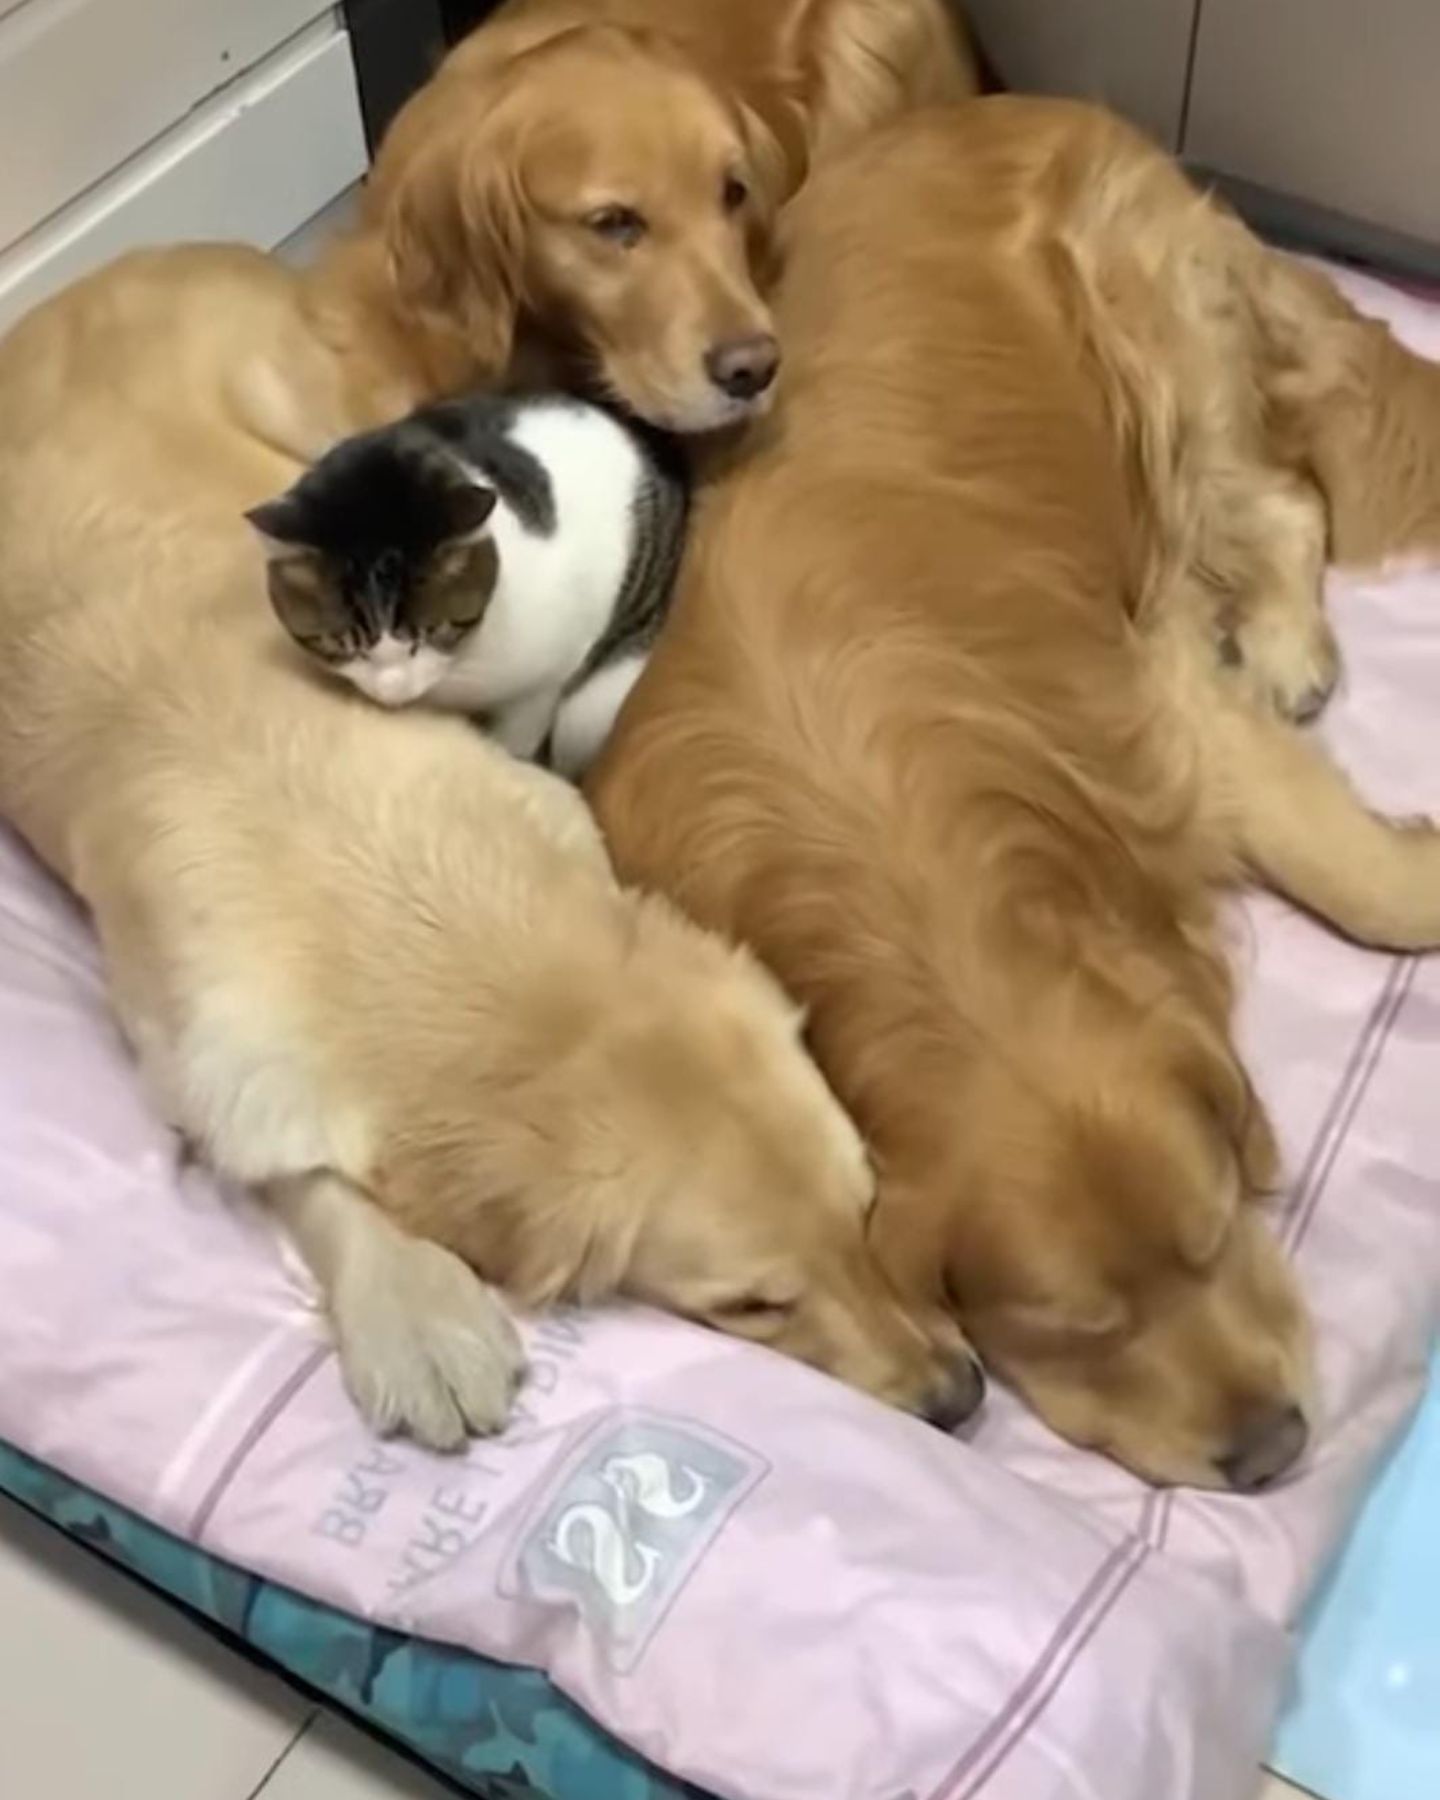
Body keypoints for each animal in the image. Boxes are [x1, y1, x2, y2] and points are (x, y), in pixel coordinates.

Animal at [246, 394, 687, 774]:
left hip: (587, 712)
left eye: (431, 631)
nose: (393, 693)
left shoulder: (548, 674)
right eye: (341, 644)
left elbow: (520, 732)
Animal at [583, 94, 1440, 1490]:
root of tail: (1020, 103)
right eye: (1074, 1329)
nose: (1270, 1453)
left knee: (1278, 496)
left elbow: (1362, 878)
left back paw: (1281, 641)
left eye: (1215, 1233)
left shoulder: (1156, 717)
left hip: (1162, 349)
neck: (921, 904)